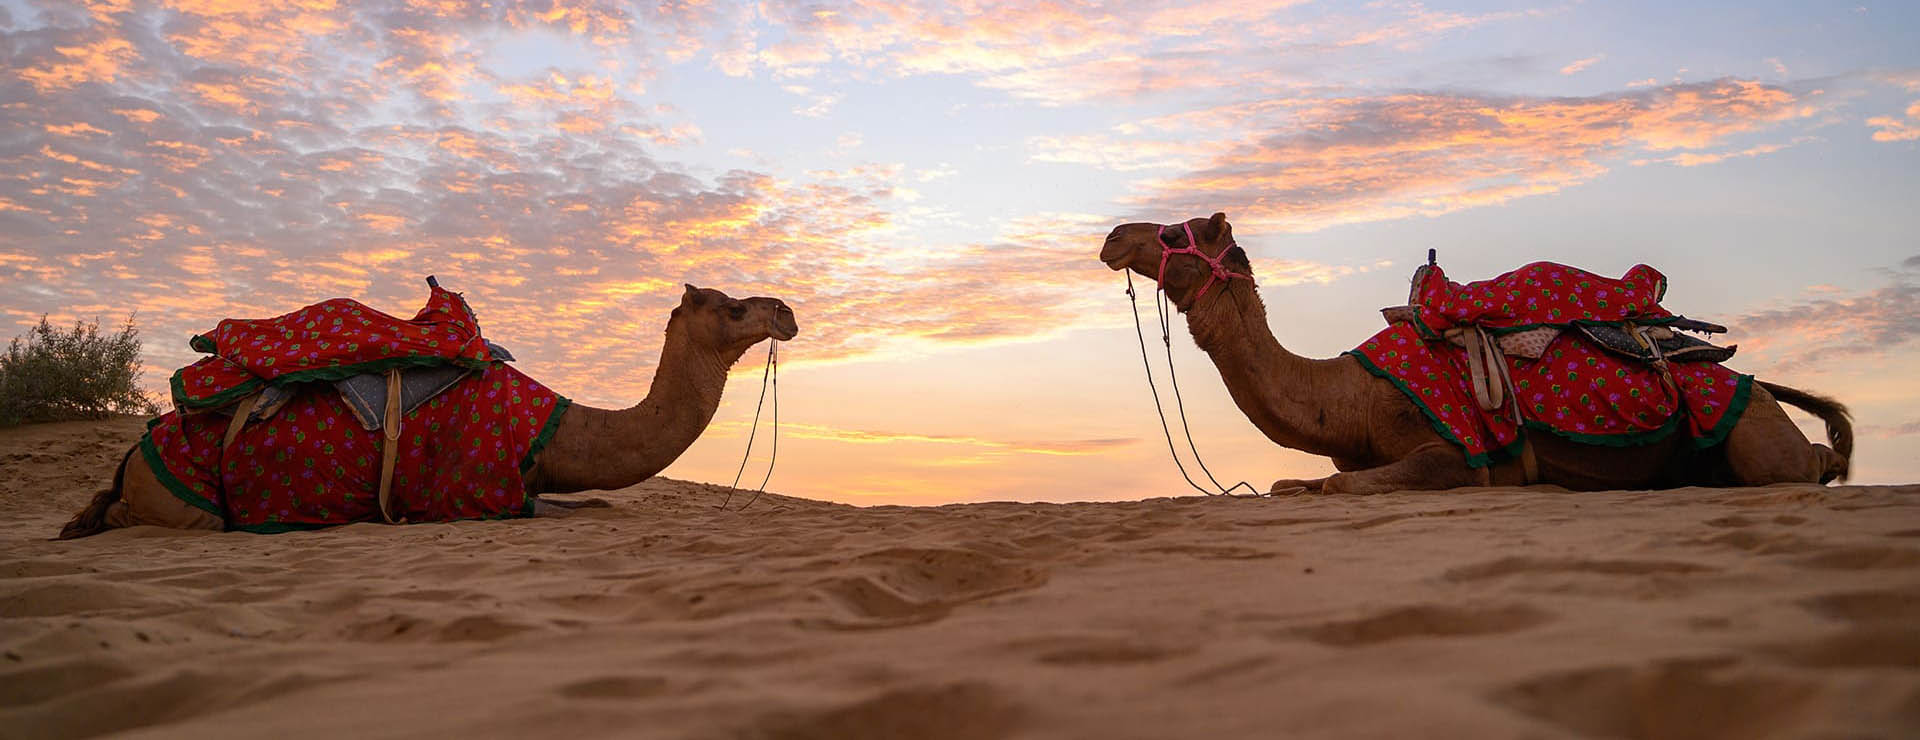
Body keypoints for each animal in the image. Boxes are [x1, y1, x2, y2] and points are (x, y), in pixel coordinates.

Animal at [59, 284, 797, 537]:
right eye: (735, 308)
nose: (787, 311)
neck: (554, 430)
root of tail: (133, 456)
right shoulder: (477, 491)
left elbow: (590, 504)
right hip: (183, 502)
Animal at [1100, 213, 1852, 494]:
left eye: (1176, 231)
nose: (1111, 236)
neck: (1348, 397)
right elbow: (1301, 484)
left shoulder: (1453, 452)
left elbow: (1341, 485)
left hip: (1752, 432)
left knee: (1803, 464)